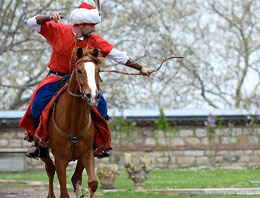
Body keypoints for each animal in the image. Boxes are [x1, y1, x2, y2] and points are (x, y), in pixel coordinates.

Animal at [40, 46, 102, 198]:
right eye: (79, 70)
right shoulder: (60, 159)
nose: (92, 96)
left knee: (75, 178)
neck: (73, 122)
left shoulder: (87, 154)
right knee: (50, 170)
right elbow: (63, 191)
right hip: (44, 151)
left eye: (98, 71)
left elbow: (92, 182)